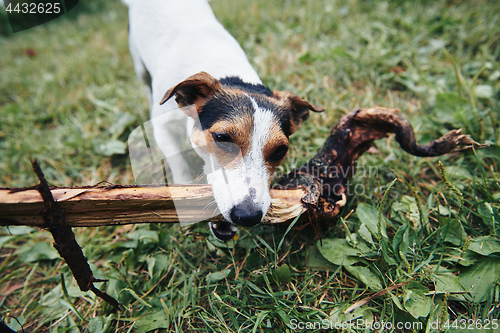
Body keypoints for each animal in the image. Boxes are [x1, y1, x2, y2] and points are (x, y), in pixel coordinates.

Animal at [123, 0, 322, 239]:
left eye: (280, 151)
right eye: (221, 137)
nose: (248, 215)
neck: (229, 74)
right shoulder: (162, 128)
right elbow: (178, 163)